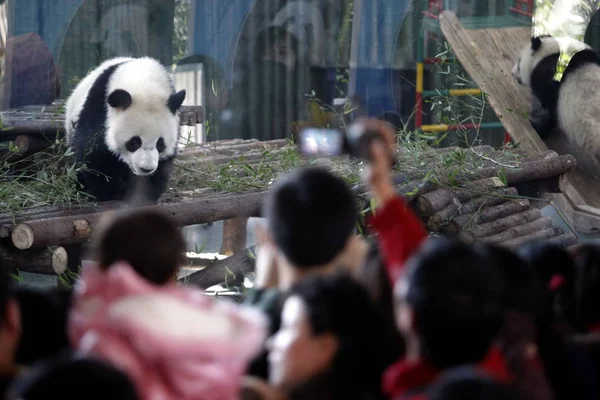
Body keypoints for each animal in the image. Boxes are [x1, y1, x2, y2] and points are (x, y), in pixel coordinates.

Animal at [64, 56, 186, 203]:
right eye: (135, 142)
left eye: (160, 143)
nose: (146, 169)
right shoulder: (99, 109)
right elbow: (93, 155)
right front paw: (110, 193)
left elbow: (162, 166)